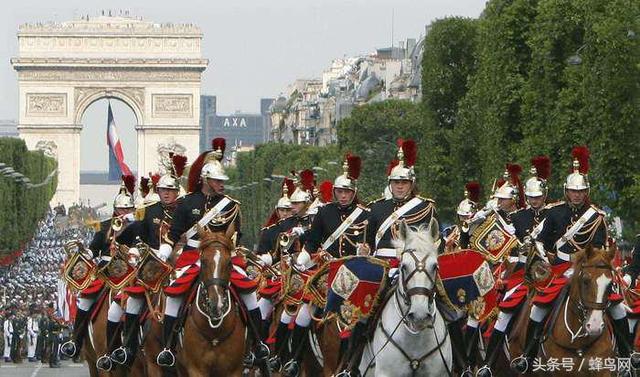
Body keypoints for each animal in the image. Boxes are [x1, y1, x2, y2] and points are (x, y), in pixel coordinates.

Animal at [174, 231, 249, 374]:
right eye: (203, 262)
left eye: (229, 263)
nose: (216, 305)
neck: (215, 333)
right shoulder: (196, 369)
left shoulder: (234, 370)